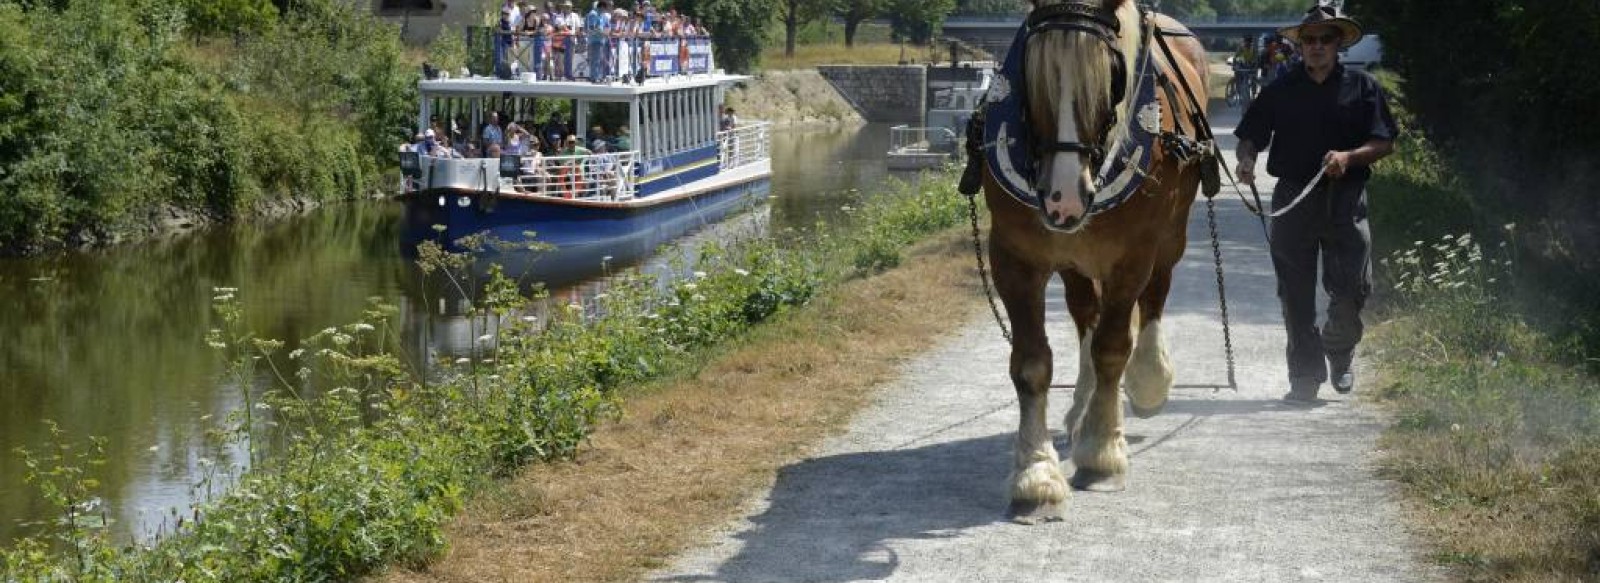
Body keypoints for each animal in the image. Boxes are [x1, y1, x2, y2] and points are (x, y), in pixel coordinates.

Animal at [979, 0, 1203, 518]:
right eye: (1032, 70)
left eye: (1111, 77)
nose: (1063, 197)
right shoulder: (1014, 257)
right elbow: (1032, 363)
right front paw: (1036, 475)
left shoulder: (1133, 256)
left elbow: (1112, 348)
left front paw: (1102, 454)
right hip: (1072, 259)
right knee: (1085, 314)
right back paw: (1081, 410)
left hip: (1170, 235)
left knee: (1155, 296)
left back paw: (1147, 382)